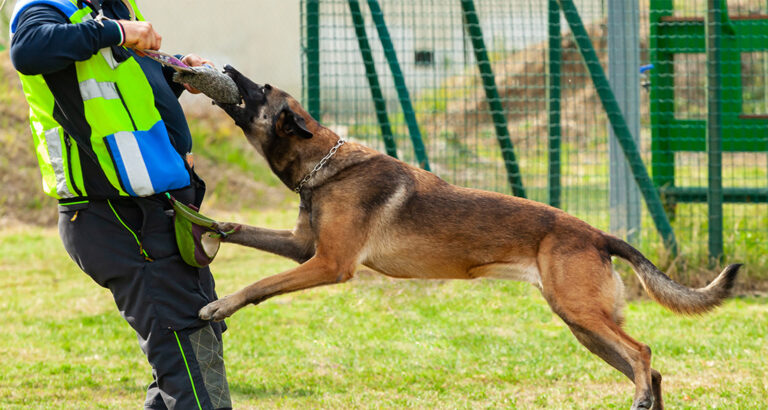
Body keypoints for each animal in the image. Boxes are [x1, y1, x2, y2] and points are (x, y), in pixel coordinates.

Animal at [201, 65, 740, 408]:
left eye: (260, 88)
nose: (224, 65)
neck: (324, 163)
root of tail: (598, 234)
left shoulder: (329, 265)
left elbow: (260, 285)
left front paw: (220, 305)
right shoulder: (303, 250)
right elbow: (245, 232)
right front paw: (212, 228)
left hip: (582, 314)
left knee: (644, 354)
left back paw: (641, 395)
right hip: (583, 325)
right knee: (651, 366)